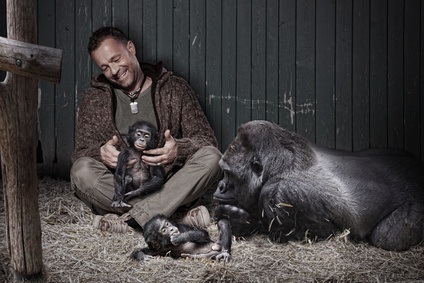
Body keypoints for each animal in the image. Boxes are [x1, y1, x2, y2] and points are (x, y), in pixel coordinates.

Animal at [214, 120, 424, 251]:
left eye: (228, 173)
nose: (220, 186)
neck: (282, 166)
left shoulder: (281, 193)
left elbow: (320, 232)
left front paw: (239, 220)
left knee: (386, 238)